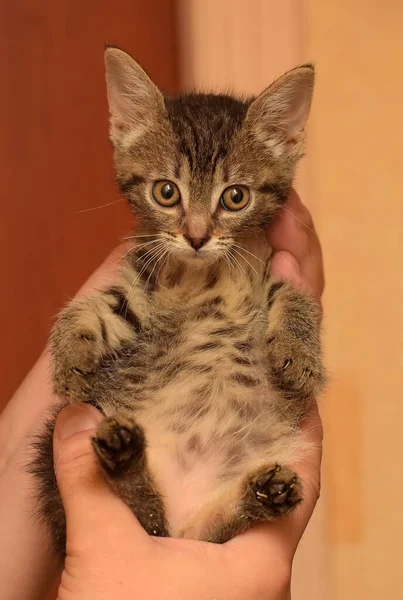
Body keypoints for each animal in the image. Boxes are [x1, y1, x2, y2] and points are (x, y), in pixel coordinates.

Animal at [30, 48, 326, 556]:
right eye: (166, 192)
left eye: (236, 197)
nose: (196, 235)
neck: (203, 272)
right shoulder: (139, 281)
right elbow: (93, 307)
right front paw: (69, 358)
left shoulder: (268, 271)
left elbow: (294, 300)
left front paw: (298, 356)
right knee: (147, 515)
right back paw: (125, 454)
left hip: (207, 521)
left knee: (205, 531)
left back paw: (263, 495)